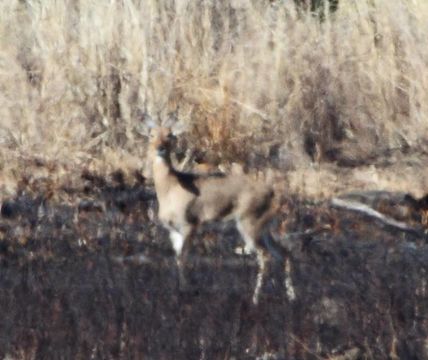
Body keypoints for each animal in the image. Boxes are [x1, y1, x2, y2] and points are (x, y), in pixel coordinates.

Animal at [150, 126, 278, 304]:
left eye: (170, 135)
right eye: (151, 134)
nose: (159, 147)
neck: (170, 189)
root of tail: (271, 192)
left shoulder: (190, 223)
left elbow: (183, 258)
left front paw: (184, 290)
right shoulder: (173, 230)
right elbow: (177, 258)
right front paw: (176, 290)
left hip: (249, 222)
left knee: (265, 256)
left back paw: (255, 299)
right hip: (263, 227)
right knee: (284, 252)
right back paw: (290, 296)